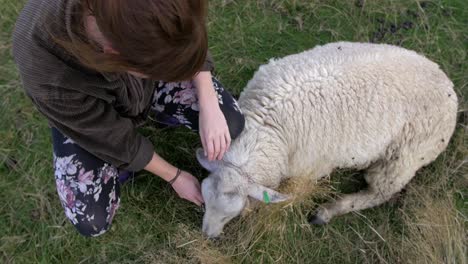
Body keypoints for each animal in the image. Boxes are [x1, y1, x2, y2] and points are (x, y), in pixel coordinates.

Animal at [197, 41, 458, 239]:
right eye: (205, 201)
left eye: (229, 215)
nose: (208, 236)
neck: (267, 126)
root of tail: (449, 87)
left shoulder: (309, 168)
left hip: (405, 157)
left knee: (379, 193)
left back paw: (326, 212)